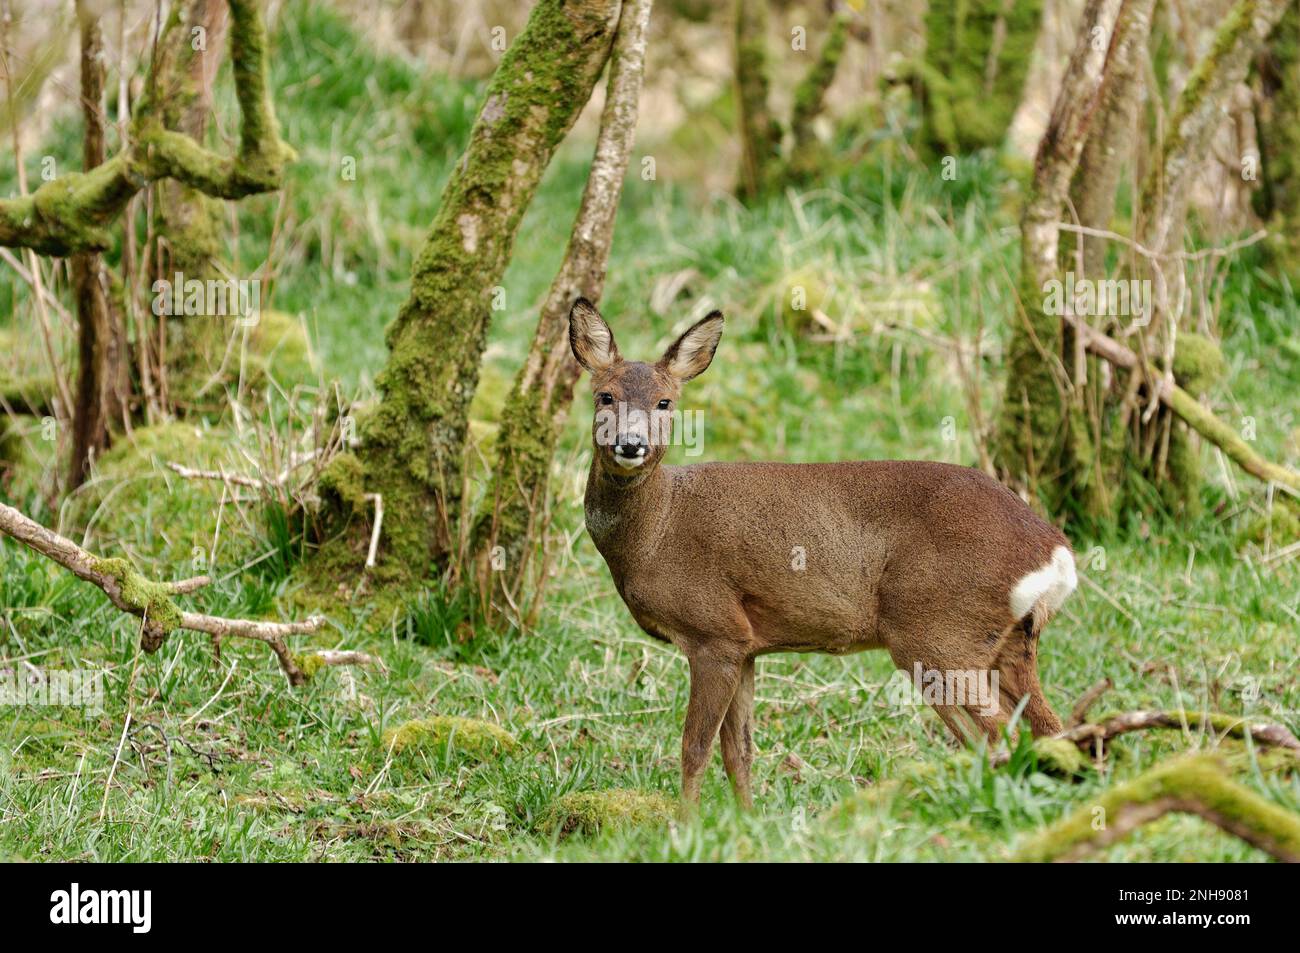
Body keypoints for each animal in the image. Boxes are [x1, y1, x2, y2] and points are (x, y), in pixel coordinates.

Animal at [569, 295, 1076, 800]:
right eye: (605, 395)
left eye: (665, 401)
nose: (630, 444)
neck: (657, 532)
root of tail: (1055, 552)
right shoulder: (746, 643)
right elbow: (740, 752)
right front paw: (744, 817)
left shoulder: (713, 629)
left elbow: (695, 749)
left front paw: (686, 821)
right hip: (1007, 644)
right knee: (1051, 730)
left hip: (938, 630)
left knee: (1000, 735)